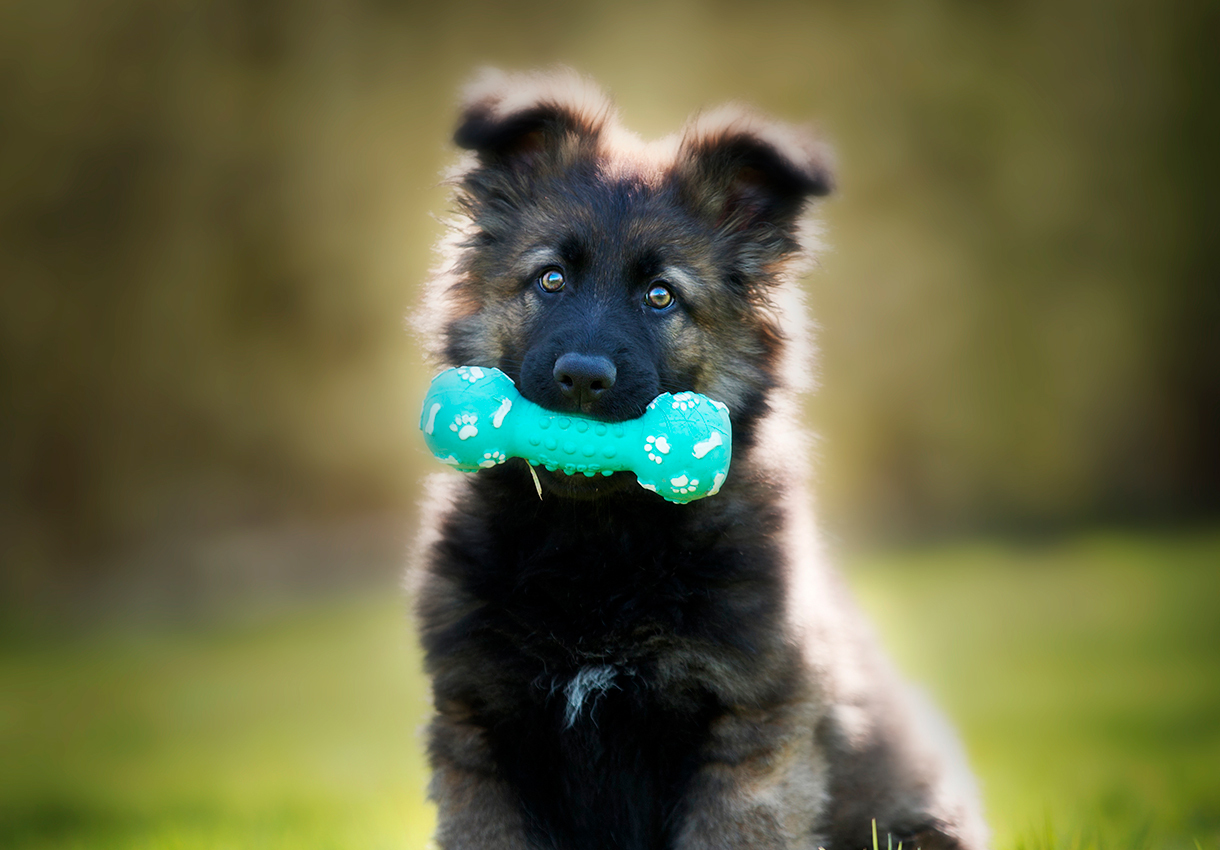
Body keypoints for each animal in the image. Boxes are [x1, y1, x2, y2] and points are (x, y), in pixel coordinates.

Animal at [414, 67, 985, 848]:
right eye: (551, 279)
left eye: (661, 295)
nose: (582, 378)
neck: (597, 549)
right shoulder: (480, 732)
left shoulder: (749, 736)